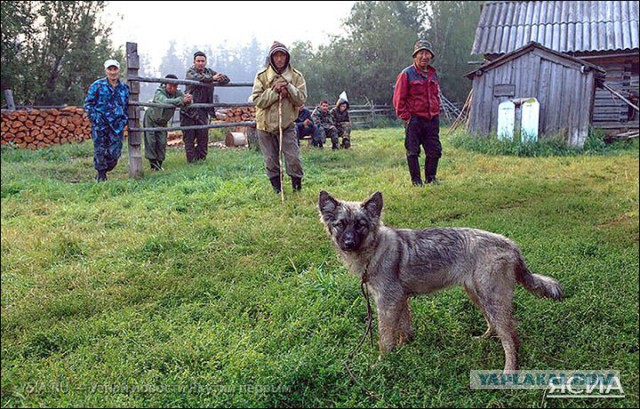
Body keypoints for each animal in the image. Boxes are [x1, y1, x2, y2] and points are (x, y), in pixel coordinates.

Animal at [318, 190, 564, 372]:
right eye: (341, 224)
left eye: (360, 224)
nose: (348, 243)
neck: (376, 249)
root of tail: (511, 244)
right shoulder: (400, 299)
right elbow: (403, 330)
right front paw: (404, 349)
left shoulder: (387, 301)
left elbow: (385, 339)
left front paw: (382, 364)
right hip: (477, 295)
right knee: (494, 325)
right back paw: (483, 338)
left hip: (492, 299)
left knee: (511, 337)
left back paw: (509, 371)